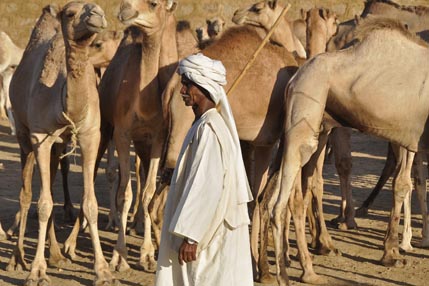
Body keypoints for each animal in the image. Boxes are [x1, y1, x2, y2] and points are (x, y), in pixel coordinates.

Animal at [8, 2, 117, 286]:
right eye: (70, 13)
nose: (98, 14)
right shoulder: (40, 138)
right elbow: (43, 204)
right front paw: (37, 271)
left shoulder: (90, 136)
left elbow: (89, 203)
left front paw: (103, 271)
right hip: (24, 137)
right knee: (26, 194)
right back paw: (17, 257)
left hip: (58, 147)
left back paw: (55, 255)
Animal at [272, 18, 428, 286]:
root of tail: (294, 78)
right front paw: (396, 251)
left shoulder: (409, 138)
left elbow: (404, 184)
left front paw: (392, 252)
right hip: (304, 114)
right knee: (280, 204)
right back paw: (286, 273)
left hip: (317, 127)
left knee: (294, 196)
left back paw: (305, 267)